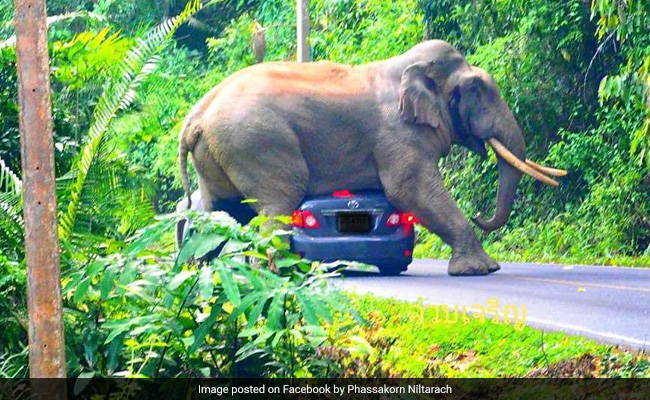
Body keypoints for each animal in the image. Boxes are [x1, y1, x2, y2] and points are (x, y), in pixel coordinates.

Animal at [178, 40, 565, 276]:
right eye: (477, 89)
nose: (480, 215)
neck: (407, 67)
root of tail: (196, 114)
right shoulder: (398, 133)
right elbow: (409, 190)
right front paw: (481, 270)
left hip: (219, 152)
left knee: (221, 209)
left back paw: (201, 271)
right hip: (257, 143)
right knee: (278, 202)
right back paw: (279, 273)